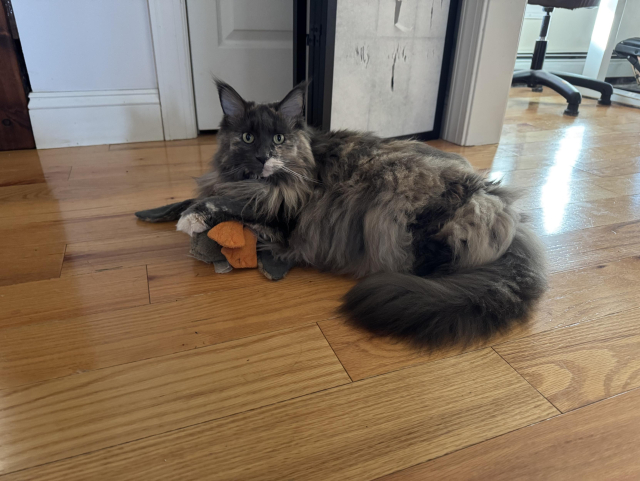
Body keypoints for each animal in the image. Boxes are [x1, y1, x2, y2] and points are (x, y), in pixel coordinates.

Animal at [176, 80, 552, 346]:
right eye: (248, 137)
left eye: (279, 139)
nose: (264, 156)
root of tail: (497, 198)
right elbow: (204, 196)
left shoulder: (284, 208)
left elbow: (231, 206)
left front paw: (195, 220)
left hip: (402, 211)